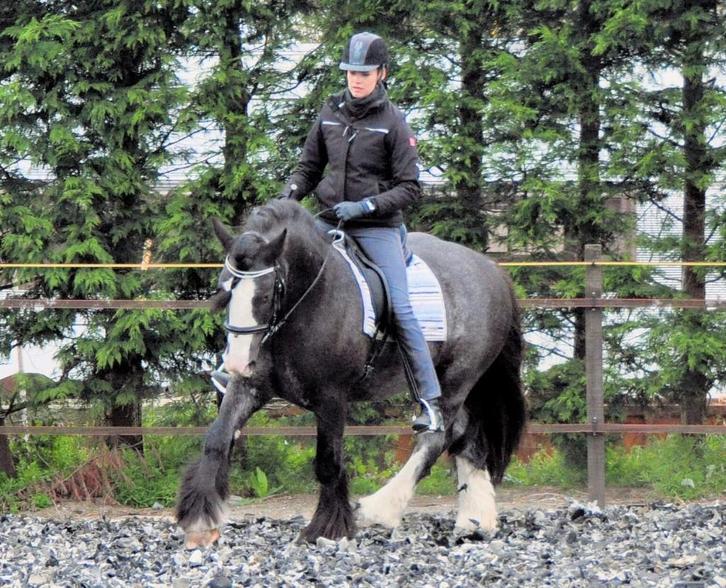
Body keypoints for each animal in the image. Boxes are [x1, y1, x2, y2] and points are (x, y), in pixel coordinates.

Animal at [176, 199, 526, 548]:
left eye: (264, 295)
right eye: (223, 289)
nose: (237, 362)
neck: (309, 301)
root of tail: (492, 270)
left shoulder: (331, 398)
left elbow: (328, 463)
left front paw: (326, 528)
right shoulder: (250, 387)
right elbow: (217, 439)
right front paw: (200, 522)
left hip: (457, 379)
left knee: (437, 437)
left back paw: (380, 510)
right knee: (467, 438)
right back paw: (474, 523)